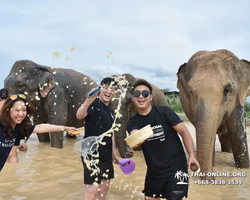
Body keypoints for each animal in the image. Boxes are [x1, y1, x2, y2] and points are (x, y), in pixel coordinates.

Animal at [176, 48, 250, 180]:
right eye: (190, 91)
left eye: (227, 90)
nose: (193, 166)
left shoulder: (239, 103)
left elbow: (237, 133)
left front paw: (245, 168)